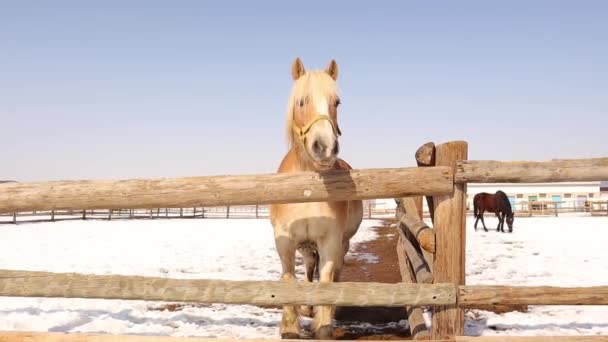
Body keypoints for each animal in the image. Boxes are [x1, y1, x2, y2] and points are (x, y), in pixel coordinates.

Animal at [270, 58, 364, 340]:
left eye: (337, 102)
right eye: (302, 101)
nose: (325, 147)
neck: (307, 190)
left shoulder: (330, 241)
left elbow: (326, 280)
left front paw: (324, 325)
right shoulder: (287, 243)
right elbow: (290, 278)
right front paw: (290, 325)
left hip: (343, 242)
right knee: (310, 267)